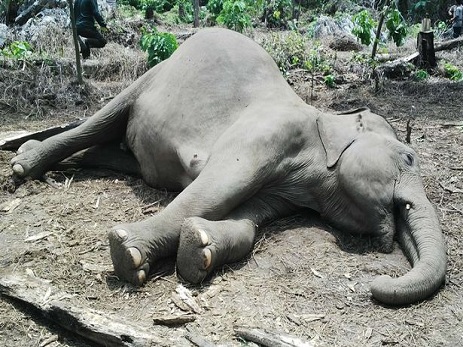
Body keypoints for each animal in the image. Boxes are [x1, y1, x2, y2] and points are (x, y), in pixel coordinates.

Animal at [10, 28, 446, 306]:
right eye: (409, 158)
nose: (376, 281)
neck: (321, 123)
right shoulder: (266, 133)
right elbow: (214, 189)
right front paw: (128, 255)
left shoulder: (290, 189)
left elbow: (247, 217)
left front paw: (198, 248)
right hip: (151, 75)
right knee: (102, 120)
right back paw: (22, 167)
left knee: (118, 154)